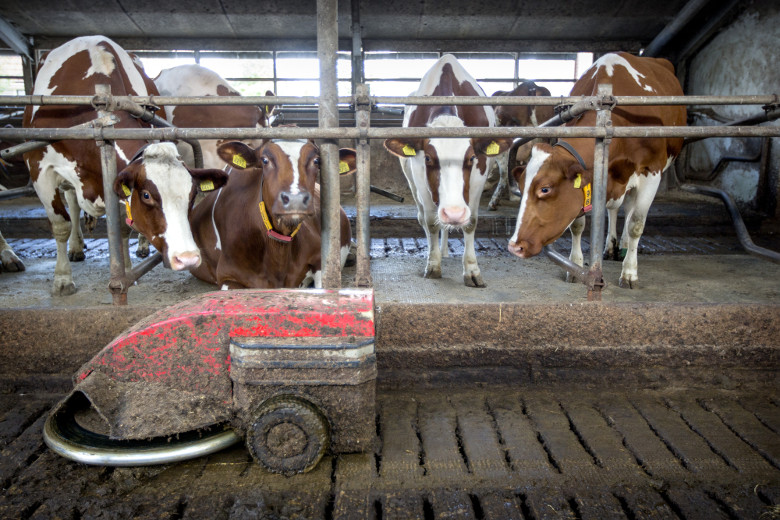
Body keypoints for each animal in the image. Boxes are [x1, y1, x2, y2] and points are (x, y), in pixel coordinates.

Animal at [21, 35, 227, 296]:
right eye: (147, 195)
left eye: (192, 196)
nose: (187, 258)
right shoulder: (40, 168)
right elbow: (60, 225)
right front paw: (62, 279)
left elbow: (121, 227)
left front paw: (127, 272)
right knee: (72, 206)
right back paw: (76, 248)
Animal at [382, 55, 512, 288]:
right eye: (428, 158)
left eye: (471, 158)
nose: (454, 213)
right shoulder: (419, 174)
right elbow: (432, 222)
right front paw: (433, 265)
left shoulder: (480, 174)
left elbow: (471, 222)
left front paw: (471, 270)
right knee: (423, 217)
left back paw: (445, 251)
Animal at [506, 52, 684, 288]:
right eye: (521, 186)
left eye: (545, 189)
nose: (514, 246)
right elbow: (578, 224)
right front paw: (575, 265)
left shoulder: (651, 172)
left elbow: (636, 224)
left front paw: (629, 272)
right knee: (616, 210)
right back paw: (611, 246)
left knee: (629, 212)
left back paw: (624, 247)